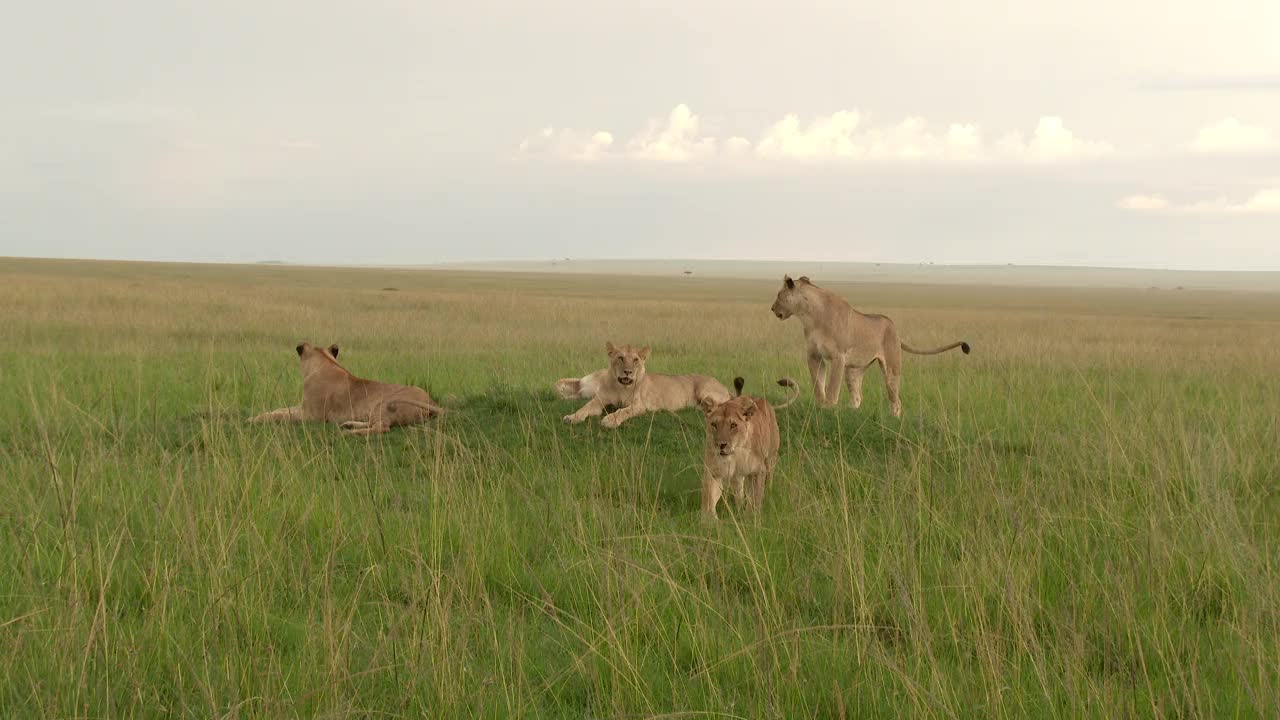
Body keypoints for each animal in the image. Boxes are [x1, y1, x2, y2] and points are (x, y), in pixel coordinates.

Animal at [248, 340, 445, 435]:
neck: (324, 363)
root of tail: (432, 402)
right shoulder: (302, 408)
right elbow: (280, 409)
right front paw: (258, 414)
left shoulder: (310, 416)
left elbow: (280, 415)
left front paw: (254, 419)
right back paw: (349, 424)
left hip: (384, 403)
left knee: (382, 428)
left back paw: (349, 433)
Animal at [560, 340, 732, 425]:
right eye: (620, 358)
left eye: (636, 360)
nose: (627, 372)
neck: (620, 387)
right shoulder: (599, 401)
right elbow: (585, 408)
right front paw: (572, 417)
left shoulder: (639, 405)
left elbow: (622, 411)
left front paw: (610, 420)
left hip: (704, 390)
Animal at [696, 376, 793, 515]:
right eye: (714, 425)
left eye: (733, 425)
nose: (721, 445)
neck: (735, 454)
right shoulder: (712, 470)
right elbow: (709, 497)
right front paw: (709, 518)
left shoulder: (758, 471)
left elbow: (755, 499)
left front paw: (751, 516)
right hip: (737, 476)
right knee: (739, 490)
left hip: (771, 458)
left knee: (768, 479)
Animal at [768, 274, 967, 415]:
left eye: (778, 295)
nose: (772, 308)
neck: (809, 315)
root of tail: (894, 328)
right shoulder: (814, 355)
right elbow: (818, 384)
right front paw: (819, 406)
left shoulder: (838, 357)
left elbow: (832, 387)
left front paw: (828, 408)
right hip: (853, 371)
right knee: (857, 397)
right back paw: (851, 412)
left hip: (891, 368)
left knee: (896, 400)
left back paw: (894, 419)